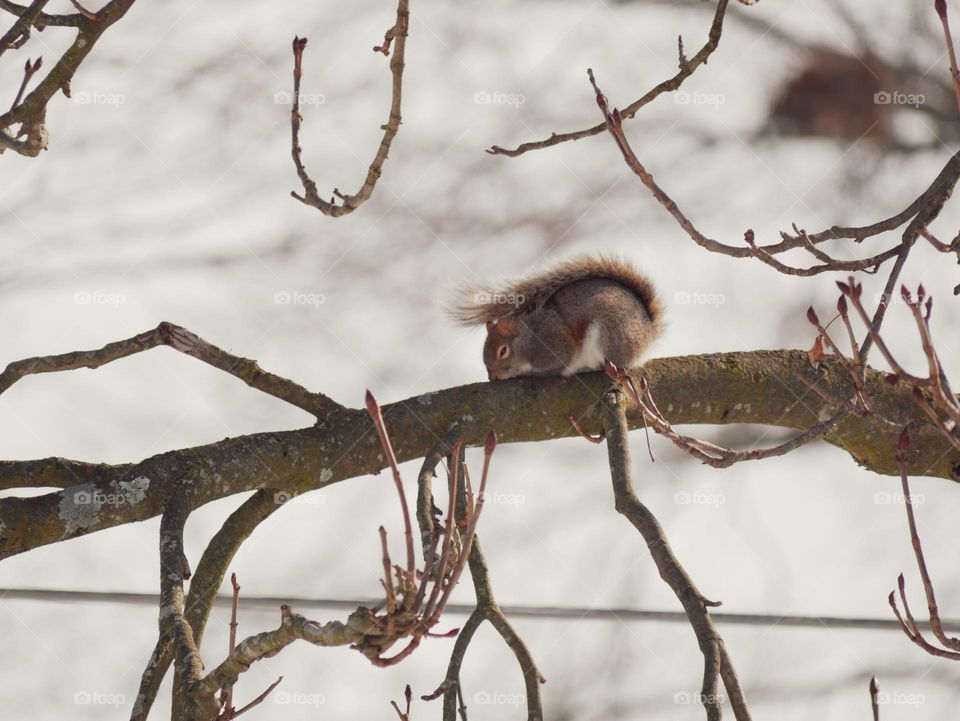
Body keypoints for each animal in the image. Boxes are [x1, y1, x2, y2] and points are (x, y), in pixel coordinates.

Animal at [449, 255, 662, 381]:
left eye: (503, 351)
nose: (492, 377)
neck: (527, 339)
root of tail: (649, 334)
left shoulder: (554, 344)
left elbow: (559, 363)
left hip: (610, 334)